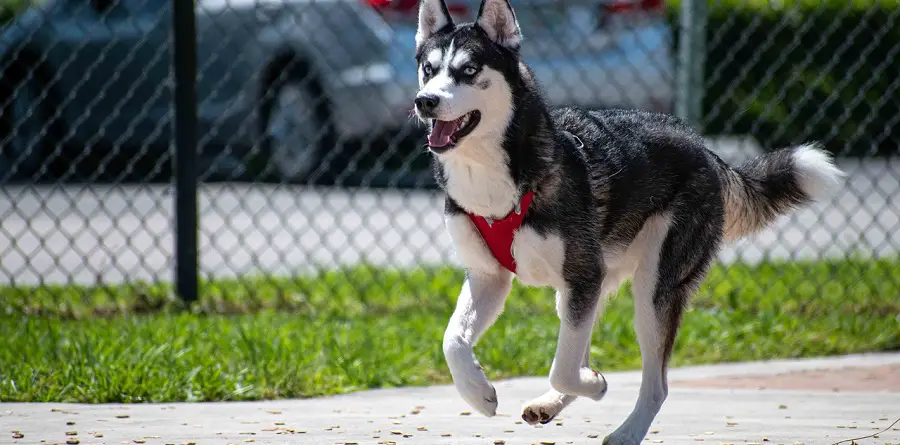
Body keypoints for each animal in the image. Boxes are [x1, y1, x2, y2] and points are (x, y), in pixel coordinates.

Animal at [414, 0, 844, 440]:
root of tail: (703, 149)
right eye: (428, 68)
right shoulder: (491, 278)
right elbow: (453, 340)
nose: (424, 101)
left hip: (651, 291)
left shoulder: (582, 277)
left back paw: (626, 432)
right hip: (591, 283)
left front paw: (594, 385)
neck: (497, 180)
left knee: (655, 384)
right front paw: (478, 392)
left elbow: (563, 369)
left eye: (469, 70)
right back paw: (552, 403)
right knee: (582, 351)